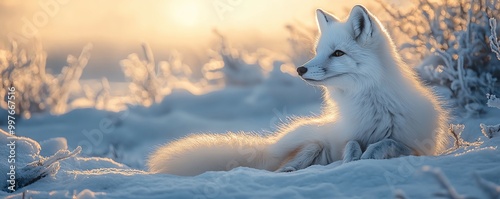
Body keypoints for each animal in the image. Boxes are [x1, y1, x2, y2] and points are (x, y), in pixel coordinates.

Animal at [147, 4, 450, 176]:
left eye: (337, 53)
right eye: (318, 51)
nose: (300, 69)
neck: (371, 105)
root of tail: (272, 145)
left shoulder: (420, 148)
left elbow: (388, 143)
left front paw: (369, 155)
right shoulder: (347, 136)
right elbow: (352, 145)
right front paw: (352, 161)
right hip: (311, 144)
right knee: (283, 166)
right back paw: (290, 172)